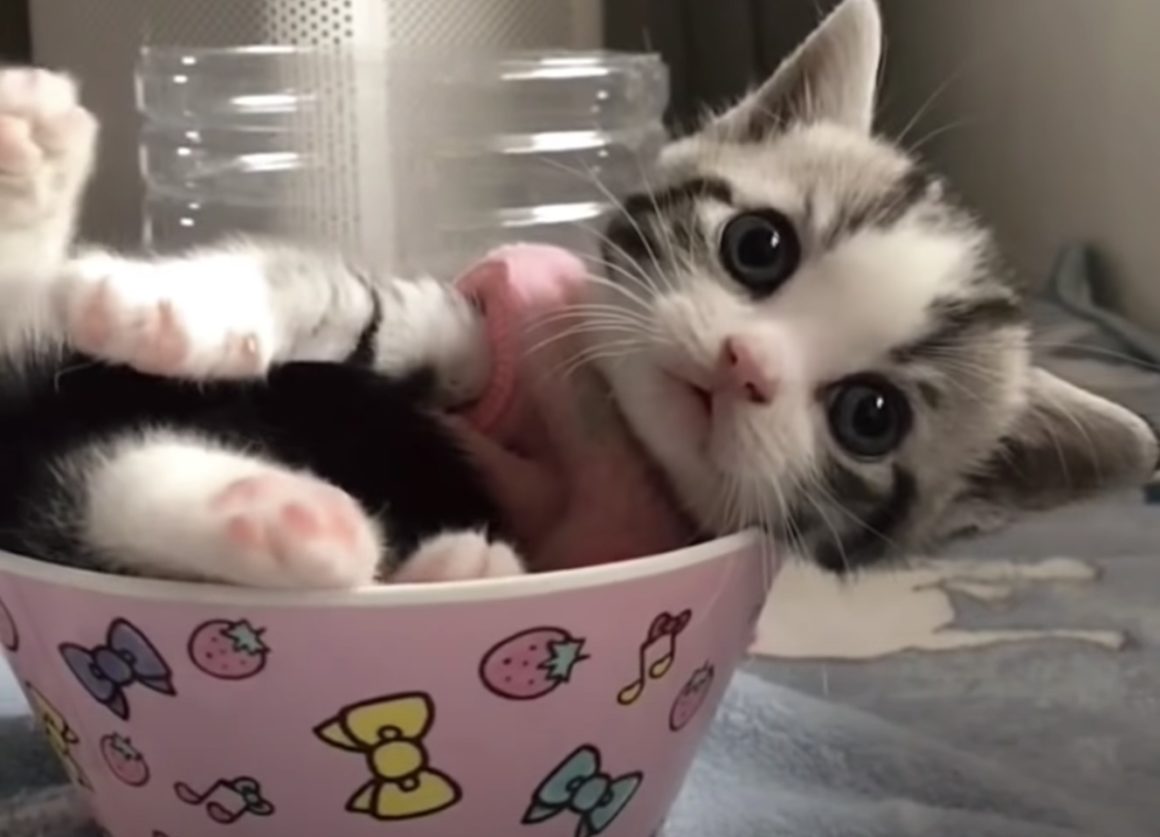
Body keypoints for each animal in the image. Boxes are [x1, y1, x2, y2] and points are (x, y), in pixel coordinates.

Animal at [0, 0, 1154, 589]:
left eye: (870, 416)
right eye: (759, 247)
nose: (744, 365)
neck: (605, 429)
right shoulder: (488, 337)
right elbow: (358, 304)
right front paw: (178, 310)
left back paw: (316, 528)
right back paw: (34, 166)